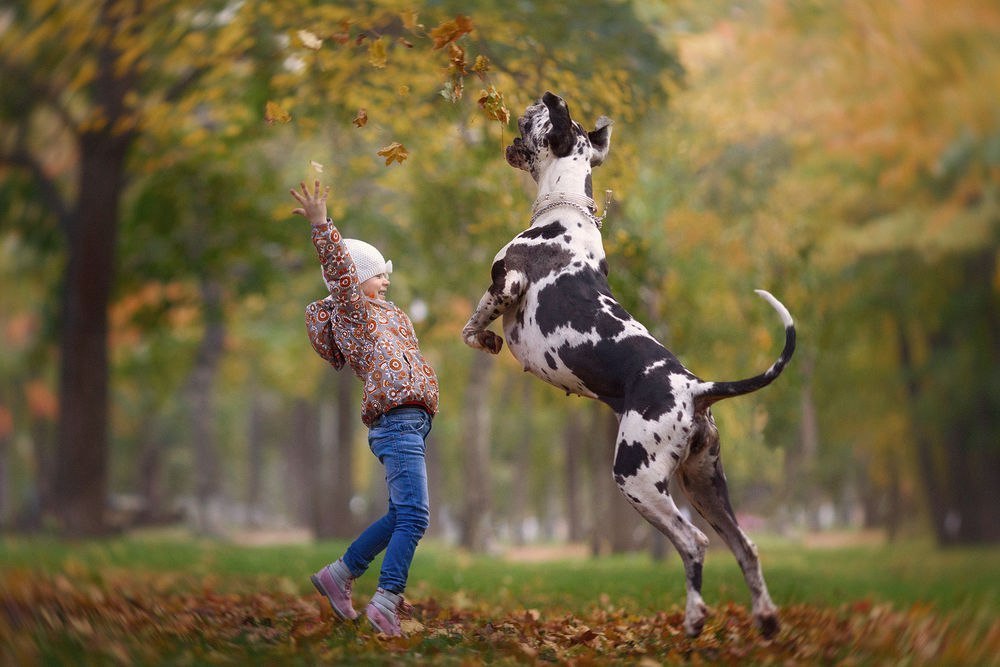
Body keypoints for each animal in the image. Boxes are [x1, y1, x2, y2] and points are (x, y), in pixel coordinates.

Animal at [462, 91, 796, 640]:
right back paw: (765, 618)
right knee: (745, 547)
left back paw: (694, 617)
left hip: (637, 478)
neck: (564, 212)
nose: (528, 104)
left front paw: (483, 337)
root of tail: (695, 387)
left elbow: (470, 327)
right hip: (705, 485)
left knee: (694, 544)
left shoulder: (505, 283)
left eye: (537, 118)